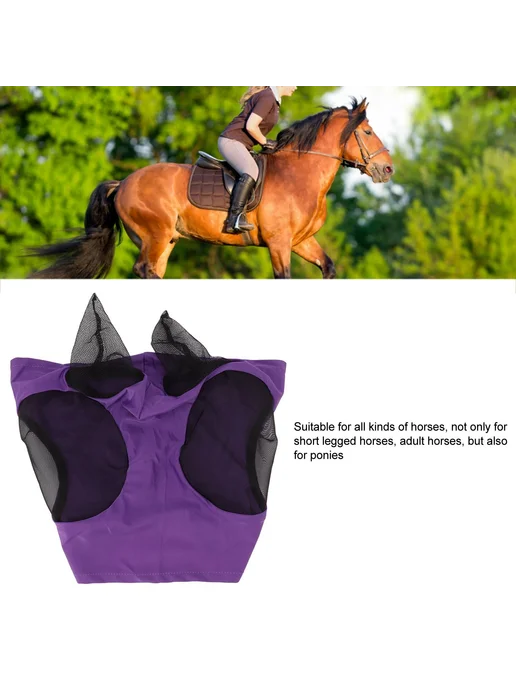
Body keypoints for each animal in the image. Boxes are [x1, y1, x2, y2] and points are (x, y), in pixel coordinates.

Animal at [29, 97, 394, 280]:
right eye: (368, 132)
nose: (388, 169)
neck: (299, 174)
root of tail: (123, 182)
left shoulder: (301, 241)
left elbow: (328, 267)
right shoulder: (279, 244)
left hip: (166, 240)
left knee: (152, 272)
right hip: (154, 235)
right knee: (145, 271)